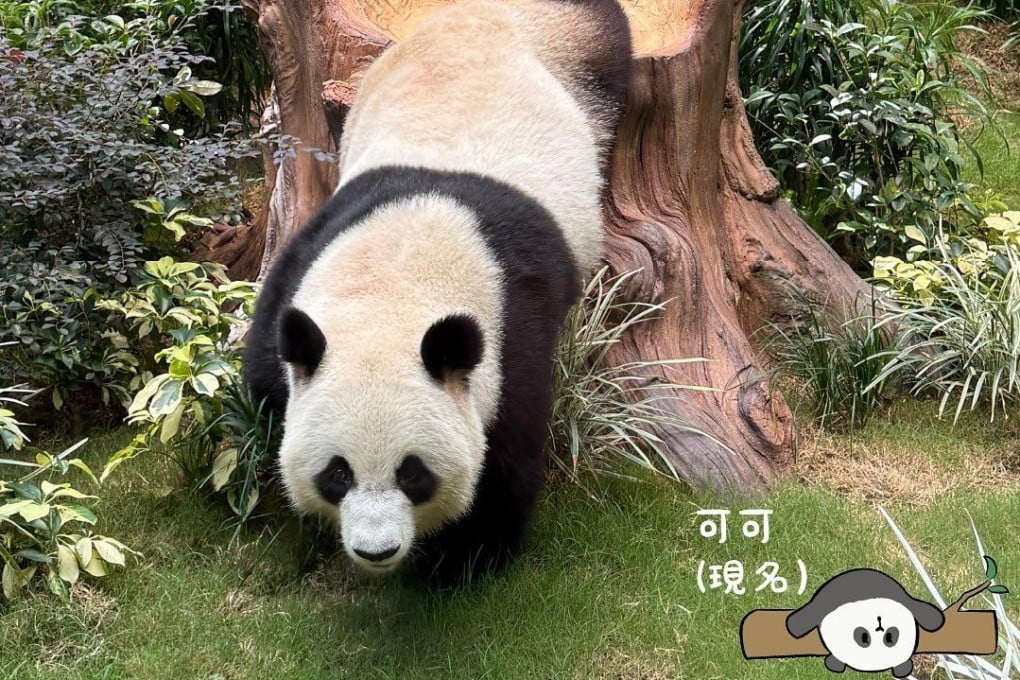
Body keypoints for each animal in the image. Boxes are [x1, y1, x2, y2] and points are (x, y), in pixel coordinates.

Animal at [244, 0, 632, 583]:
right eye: (337, 474)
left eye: (412, 474)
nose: (375, 551)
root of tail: (505, 17)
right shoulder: (319, 241)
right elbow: (269, 367)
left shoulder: (513, 318)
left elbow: (503, 462)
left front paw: (456, 565)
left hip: (587, 63)